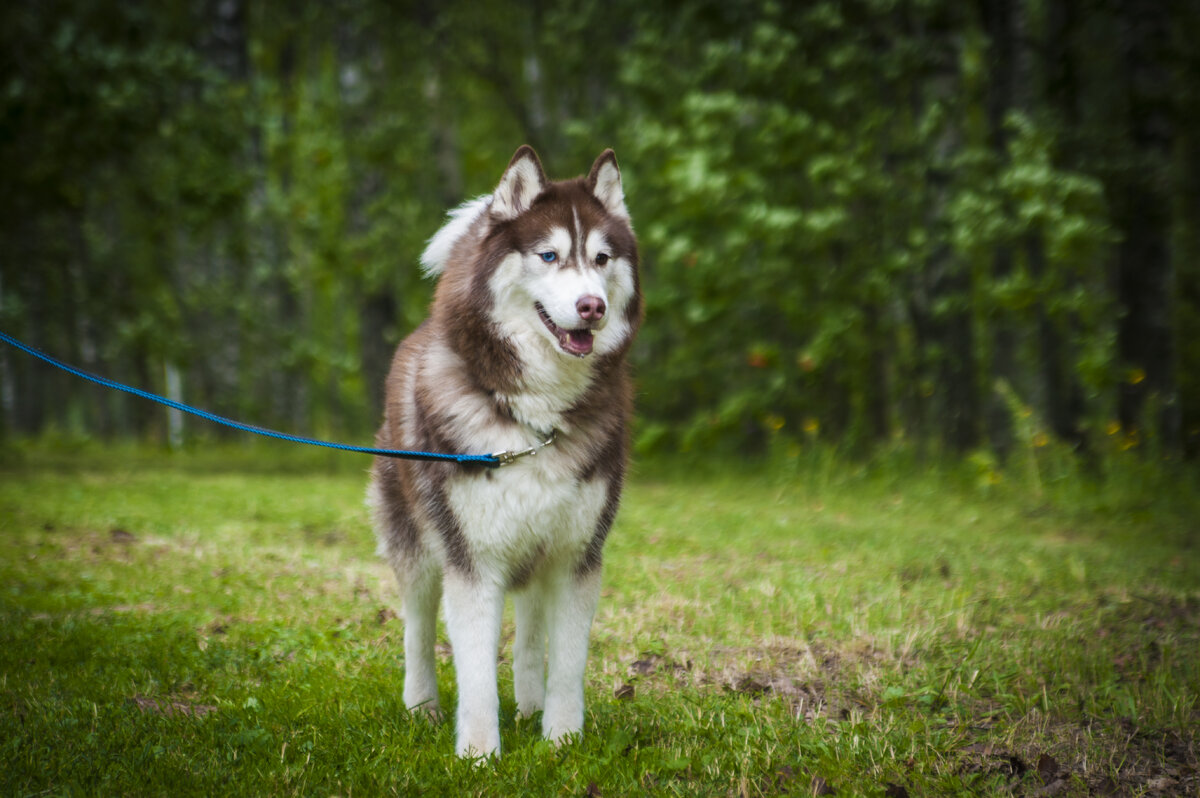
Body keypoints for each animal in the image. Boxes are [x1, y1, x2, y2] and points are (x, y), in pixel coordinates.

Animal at [369, 146, 643, 758]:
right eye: (549, 255)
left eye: (601, 258)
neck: (535, 416)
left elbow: (566, 663)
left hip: (535, 554)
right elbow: (473, 672)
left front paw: (562, 744)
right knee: (417, 626)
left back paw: (530, 705)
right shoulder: (472, 560)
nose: (591, 306)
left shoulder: (576, 556)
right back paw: (421, 707)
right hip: (414, 541)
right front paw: (478, 756)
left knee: (530, 633)